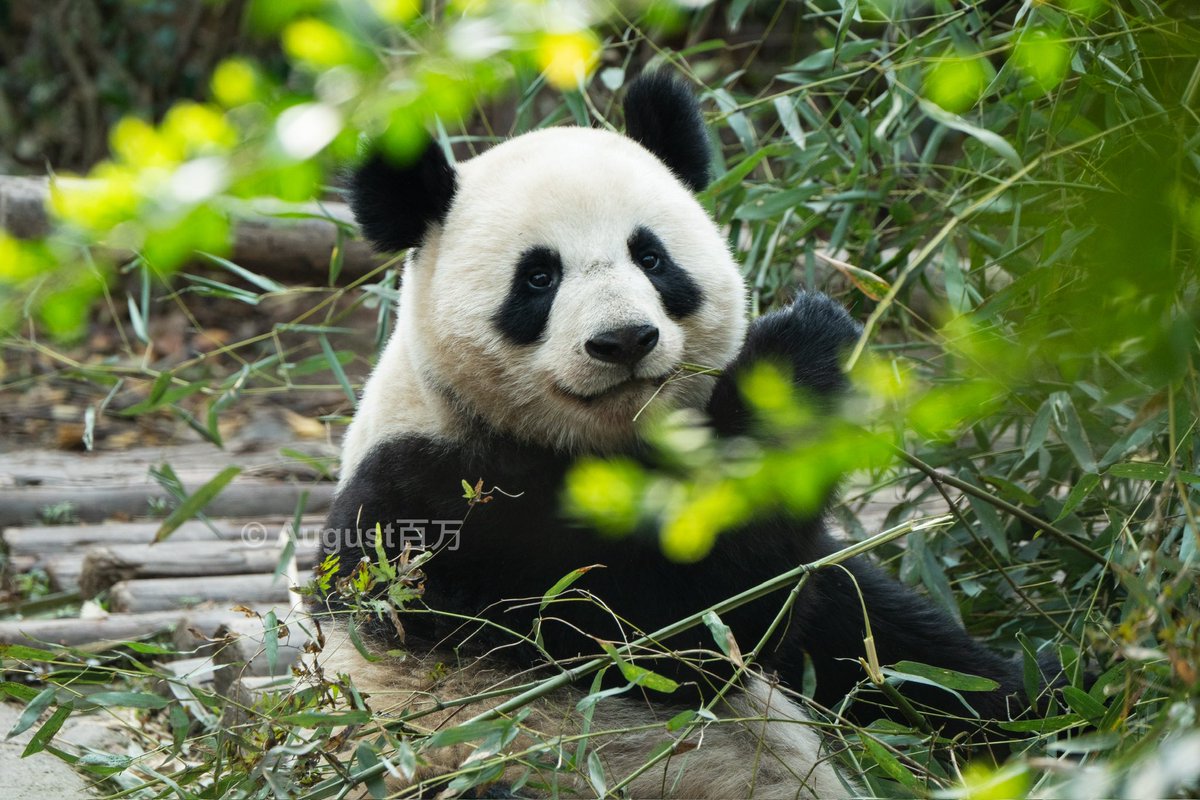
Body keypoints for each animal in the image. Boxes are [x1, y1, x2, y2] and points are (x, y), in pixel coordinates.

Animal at [314, 72, 1050, 799]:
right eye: (539, 277)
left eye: (651, 257)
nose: (623, 340)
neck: (603, 443)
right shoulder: (440, 509)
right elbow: (669, 630)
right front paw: (797, 348)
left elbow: (886, 644)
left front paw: (1042, 701)